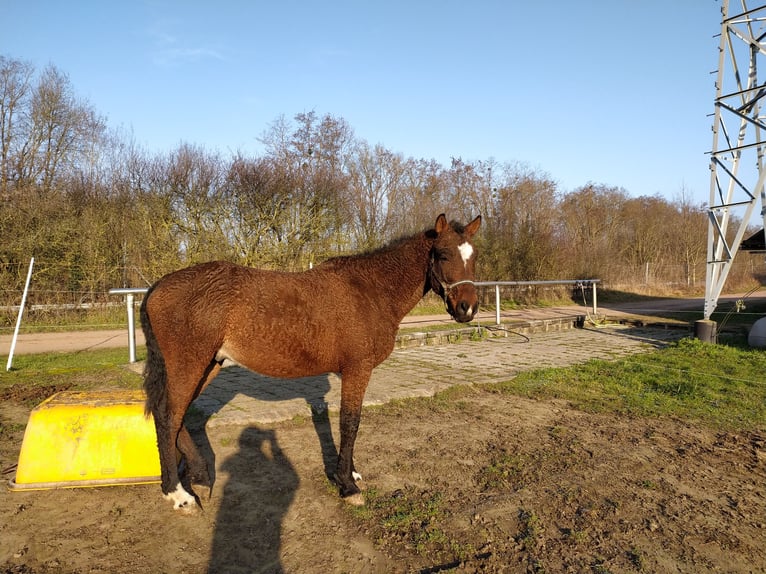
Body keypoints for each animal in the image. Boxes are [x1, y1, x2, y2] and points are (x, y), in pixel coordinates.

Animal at [140, 213, 481, 511]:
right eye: (443, 254)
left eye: (474, 257)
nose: (467, 308)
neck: (369, 290)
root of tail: (159, 286)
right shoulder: (357, 370)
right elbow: (350, 423)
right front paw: (347, 485)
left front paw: (351, 473)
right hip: (189, 365)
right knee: (169, 417)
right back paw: (178, 494)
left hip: (209, 366)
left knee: (174, 416)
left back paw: (199, 477)